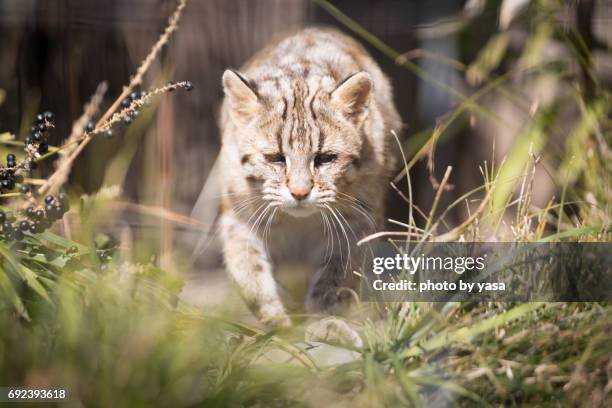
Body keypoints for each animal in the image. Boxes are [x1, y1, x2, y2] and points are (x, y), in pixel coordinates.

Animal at [219, 26, 402, 344]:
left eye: (326, 158)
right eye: (275, 159)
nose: (300, 192)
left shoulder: (356, 221)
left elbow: (334, 278)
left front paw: (324, 322)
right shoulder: (238, 217)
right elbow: (251, 273)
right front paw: (276, 320)